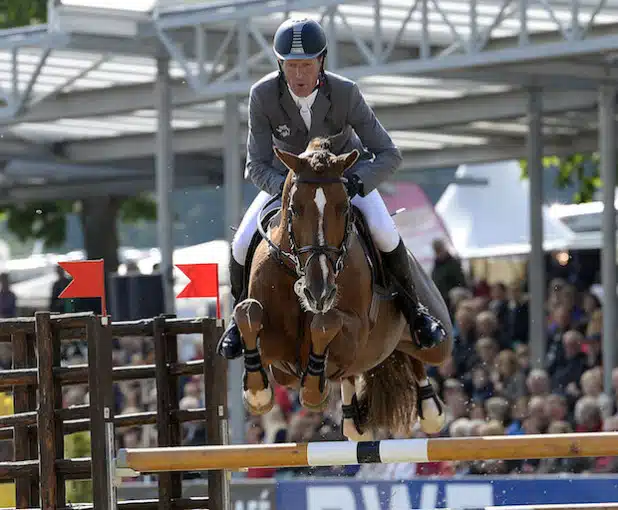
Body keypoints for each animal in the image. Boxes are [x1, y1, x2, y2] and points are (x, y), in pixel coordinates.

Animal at [233, 137, 450, 440]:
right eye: (295, 209)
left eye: (344, 208)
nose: (319, 292)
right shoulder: (281, 365)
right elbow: (247, 312)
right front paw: (257, 393)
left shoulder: (355, 335)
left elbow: (326, 322)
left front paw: (313, 390)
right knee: (351, 377)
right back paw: (352, 420)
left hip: (438, 341)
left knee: (419, 354)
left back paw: (429, 405)